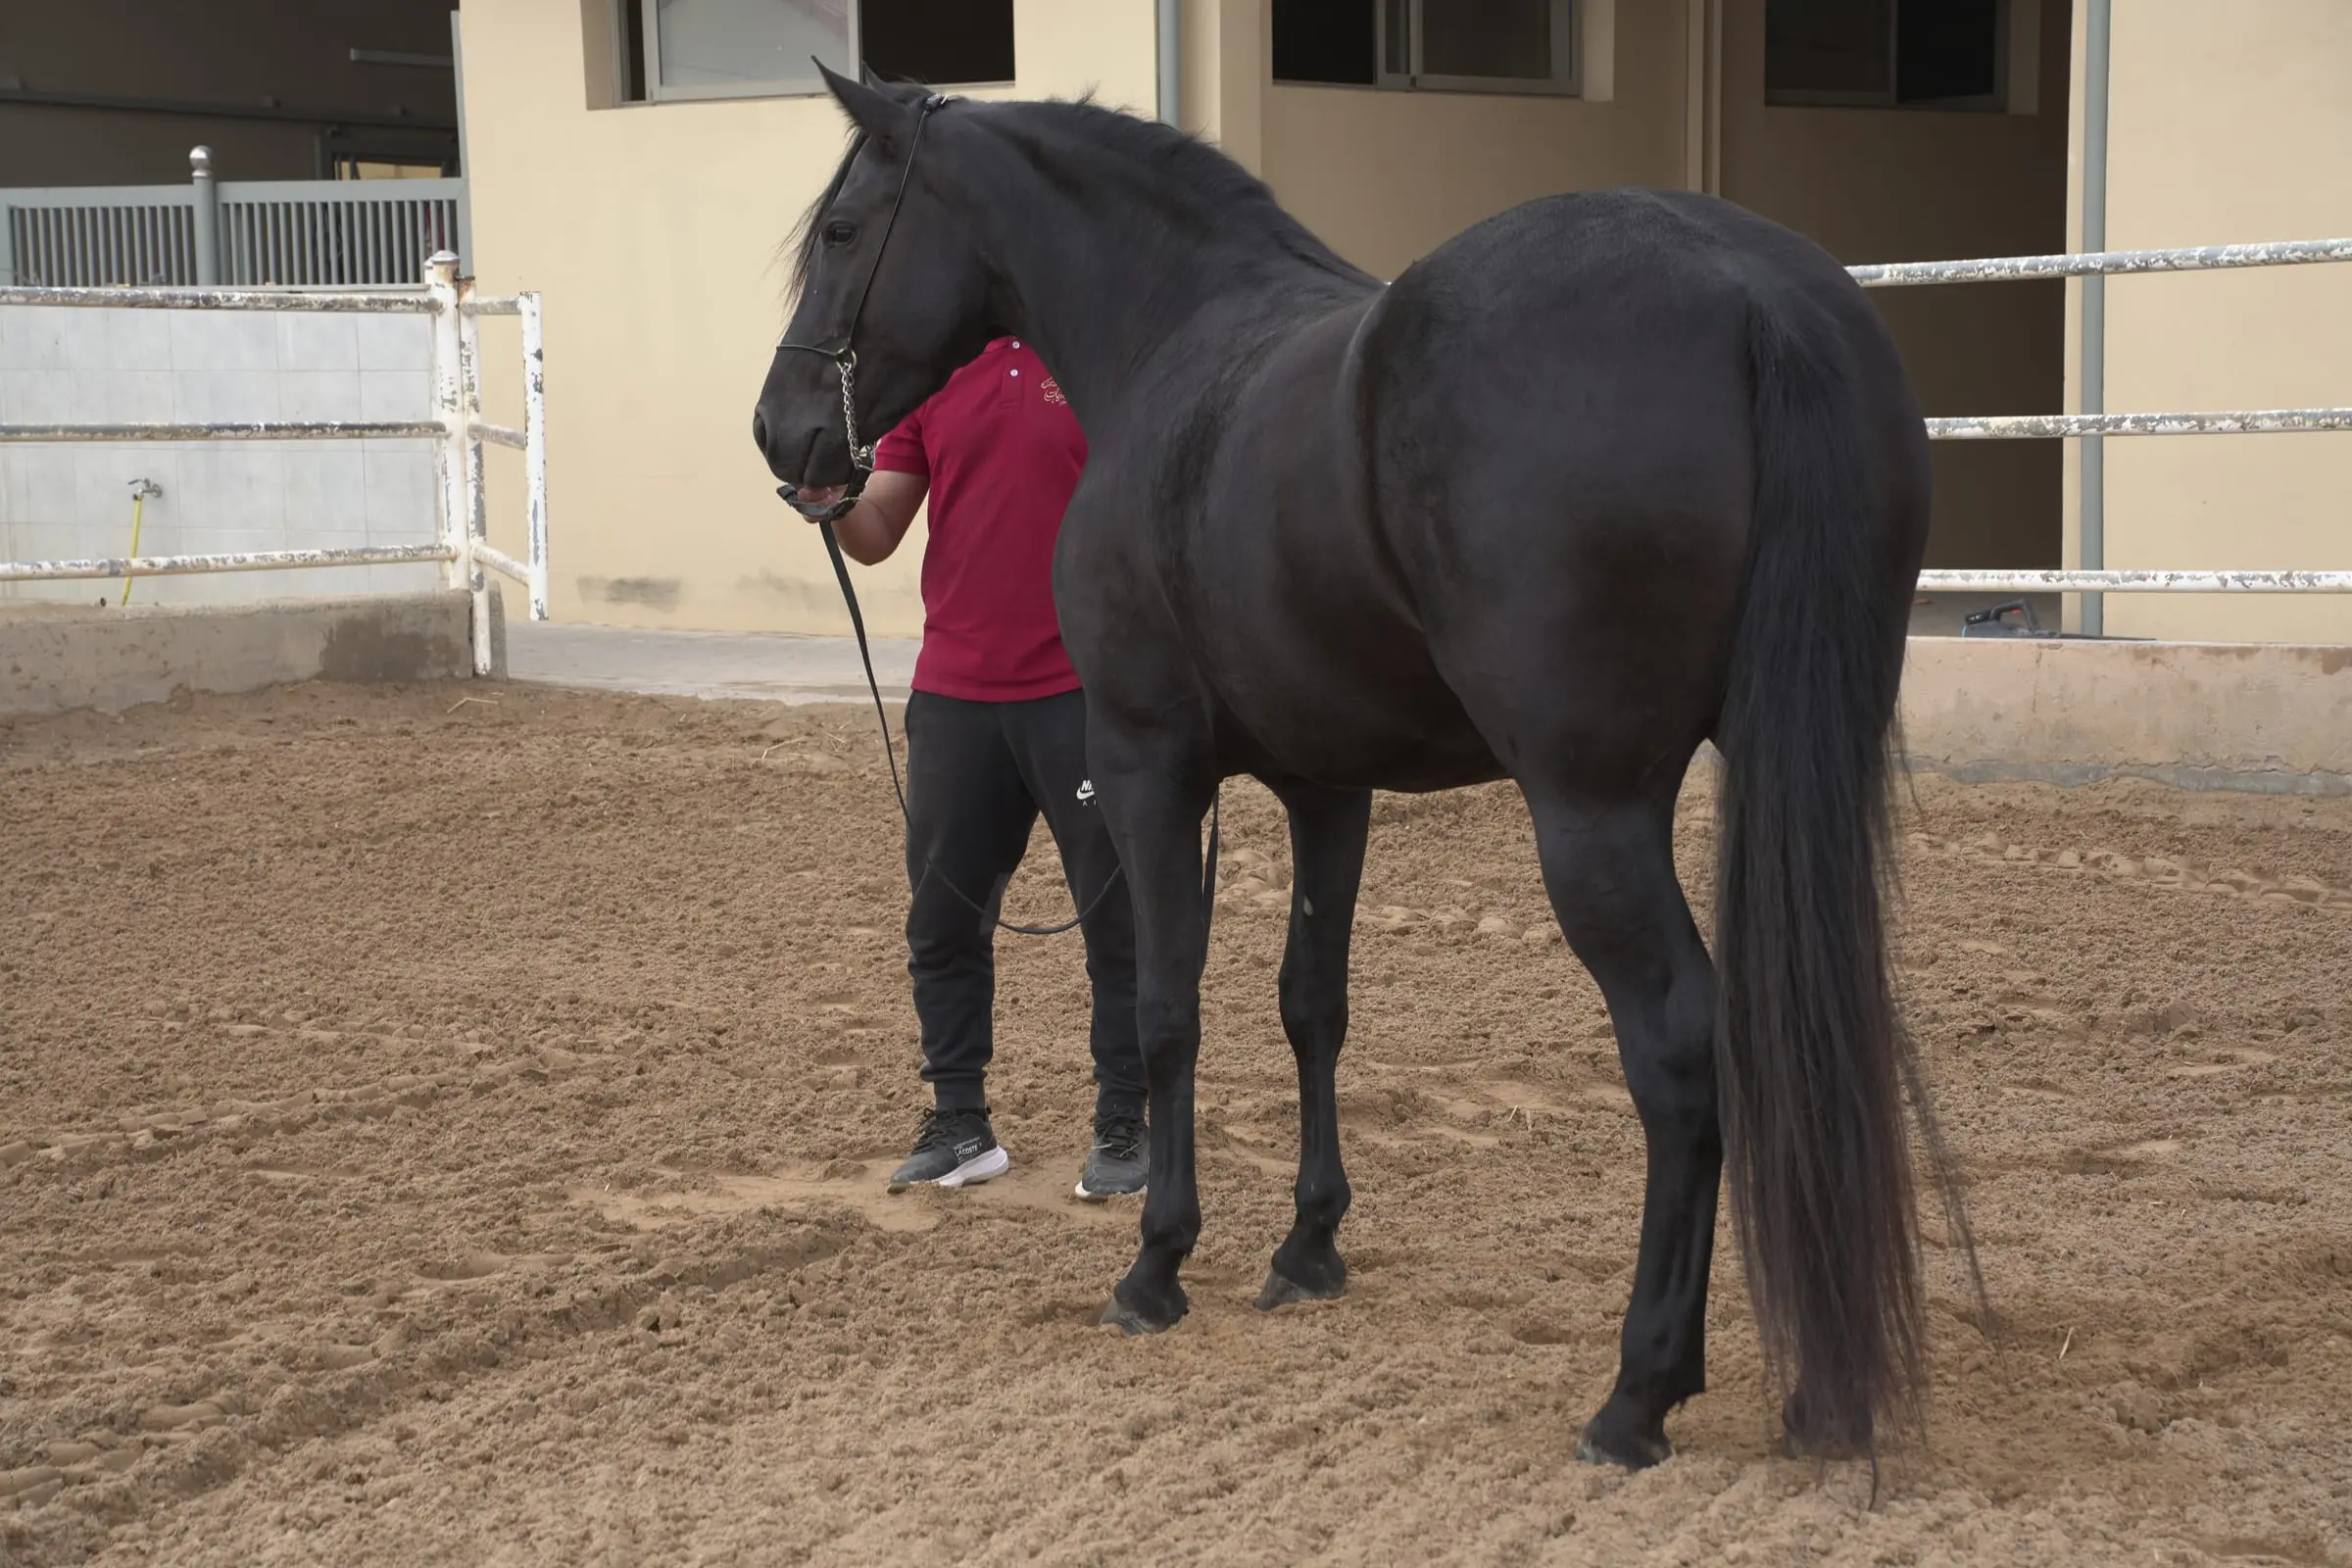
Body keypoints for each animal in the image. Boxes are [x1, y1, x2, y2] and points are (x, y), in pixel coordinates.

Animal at [751, 69, 1970, 1469]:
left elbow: (1167, 1008)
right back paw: (1819, 1396)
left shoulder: (1146, 766)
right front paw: (1308, 1245)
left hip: (1594, 812)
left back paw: (1637, 1393)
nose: (783, 433)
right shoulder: (1327, 787)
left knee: (1678, 1047)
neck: (1175, 341)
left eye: (845, 230)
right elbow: (1311, 1004)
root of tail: (1750, 289)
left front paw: (1156, 1265)